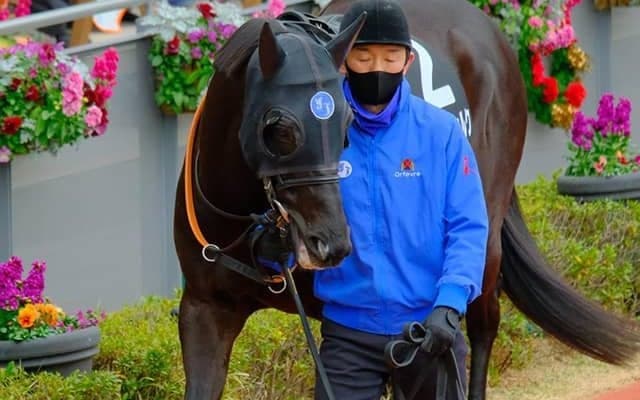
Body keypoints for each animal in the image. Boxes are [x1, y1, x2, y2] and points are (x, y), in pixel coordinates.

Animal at [172, 1, 640, 399]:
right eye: (279, 127)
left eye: (347, 121)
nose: (331, 244)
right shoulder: (206, 309)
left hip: (484, 234)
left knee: (482, 325)